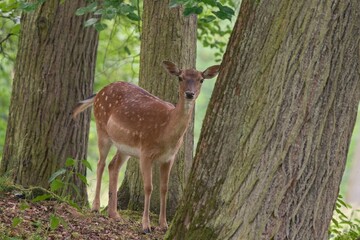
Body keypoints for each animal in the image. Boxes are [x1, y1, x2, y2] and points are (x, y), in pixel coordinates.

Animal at [72, 60, 219, 232]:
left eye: (201, 79)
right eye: (180, 77)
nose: (190, 94)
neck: (166, 132)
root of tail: (99, 92)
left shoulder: (169, 157)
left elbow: (164, 188)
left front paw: (164, 225)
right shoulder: (146, 152)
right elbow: (148, 187)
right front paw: (146, 225)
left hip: (124, 146)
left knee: (112, 165)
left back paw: (114, 214)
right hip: (101, 128)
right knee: (100, 164)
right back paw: (95, 207)